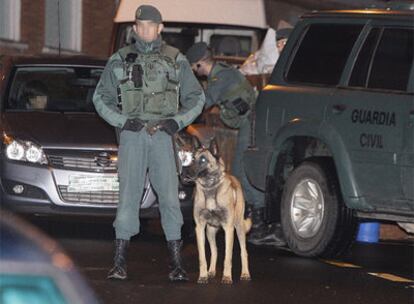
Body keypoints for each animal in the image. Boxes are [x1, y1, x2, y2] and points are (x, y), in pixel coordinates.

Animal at [182, 139, 251, 284]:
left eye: (203, 160)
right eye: (192, 158)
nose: (184, 171)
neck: (210, 187)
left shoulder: (229, 229)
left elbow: (228, 257)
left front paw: (227, 277)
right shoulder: (200, 228)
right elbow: (202, 256)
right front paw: (203, 276)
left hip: (239, 228)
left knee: (243, 251)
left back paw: (245, 273)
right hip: (210, 231)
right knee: (214, 250)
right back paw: (211, 271)